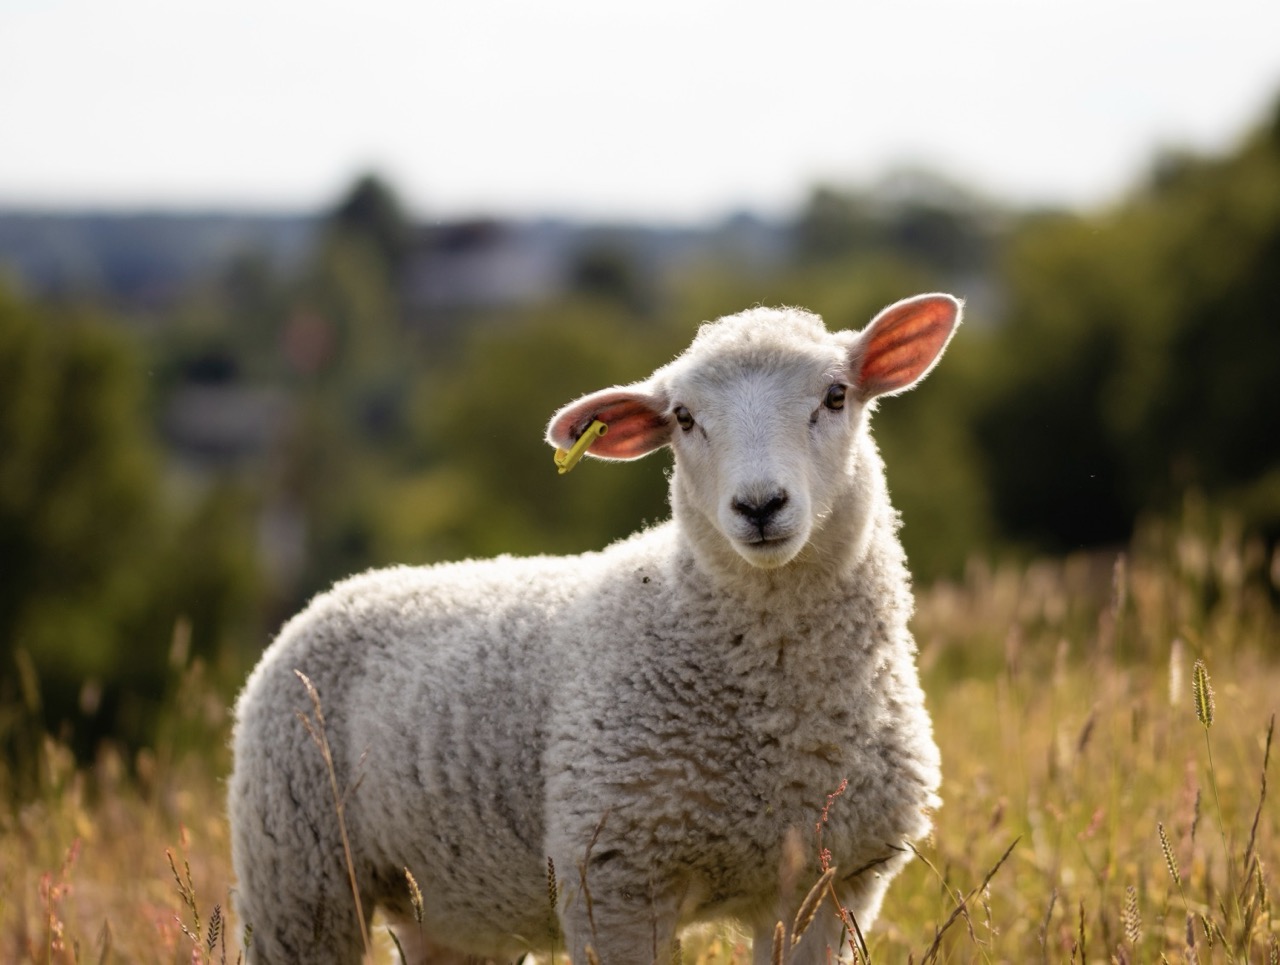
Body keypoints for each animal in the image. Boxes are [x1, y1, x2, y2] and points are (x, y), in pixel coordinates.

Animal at [228, 291, 961, 964]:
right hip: (300, 882)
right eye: (684, 418)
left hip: (446, 907)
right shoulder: (612, 881)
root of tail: (337, 592)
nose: (759, 506)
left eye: (836, 395)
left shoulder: (828, 887)